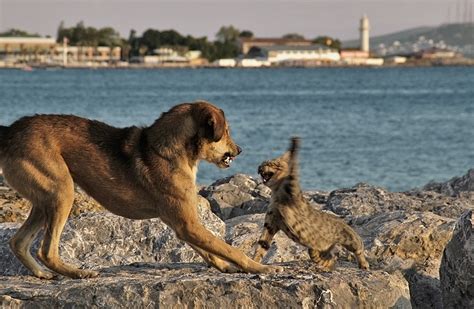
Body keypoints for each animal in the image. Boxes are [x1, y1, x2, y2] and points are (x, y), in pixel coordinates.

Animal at [0, 100, 282, 278]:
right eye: (226, 132)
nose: (239, 150)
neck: (169, 151)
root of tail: (10, 131)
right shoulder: (188, 224)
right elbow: (230, 249)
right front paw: (261, 268)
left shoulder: (183, 225)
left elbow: (210, 252)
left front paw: (226, 268)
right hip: (62, 192)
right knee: (46, 250)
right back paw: (78, 272)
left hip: (44, 200)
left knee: (18, 241)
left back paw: (41, 274)